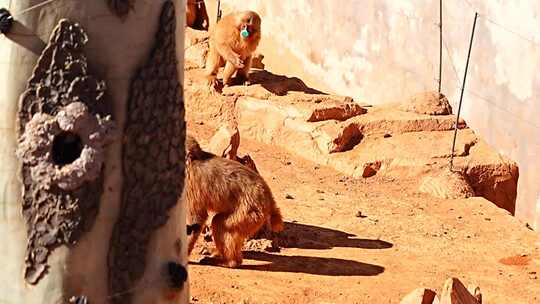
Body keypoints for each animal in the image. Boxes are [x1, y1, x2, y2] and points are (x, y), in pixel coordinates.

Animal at [182, 134, 282, 268]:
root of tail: (269, 197)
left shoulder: (189, 183)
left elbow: (196, 219)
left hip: (251, 212)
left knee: (219, 223)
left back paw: (230, 261)